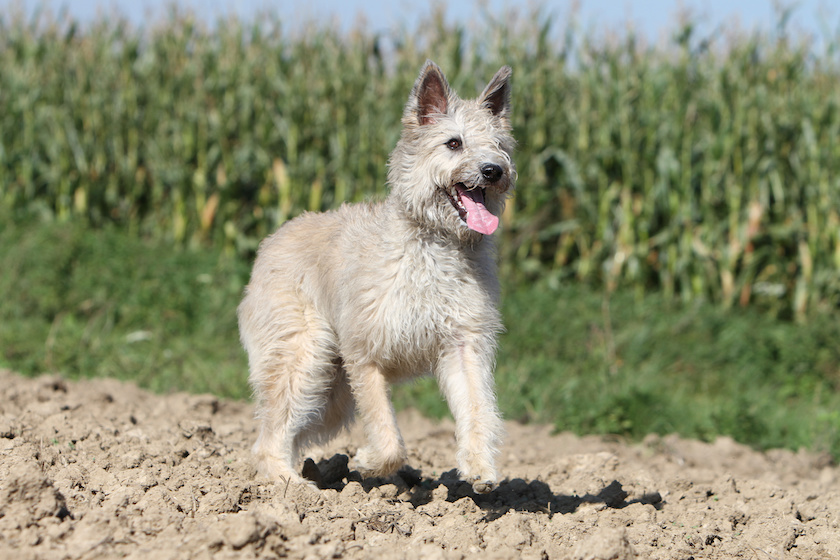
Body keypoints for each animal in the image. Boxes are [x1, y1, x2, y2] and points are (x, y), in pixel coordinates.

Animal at [235, 59, 512, 492]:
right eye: (454, 143)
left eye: (499, 145)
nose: (494, 171)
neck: (435, 245)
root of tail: (273, 239)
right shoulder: (365, 355)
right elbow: (387, 434)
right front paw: (369, 462)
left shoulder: (464, 345)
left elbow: (478, 407)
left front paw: (480, 467)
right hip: (303, 359)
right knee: (269, 433)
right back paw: (290, 486)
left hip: (331, 393)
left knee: (288, 430)